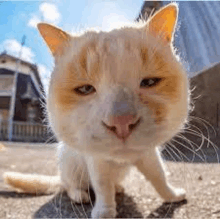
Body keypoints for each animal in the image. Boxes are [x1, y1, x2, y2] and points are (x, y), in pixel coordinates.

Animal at [3, 3, 189, 217]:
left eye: (150, 82)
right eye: (85, 89)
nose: (122, 122)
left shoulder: (148, 154)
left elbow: (159, 176)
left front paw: (171, 195)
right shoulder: (95, 158)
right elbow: (102, 185)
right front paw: (105, 211)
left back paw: (118, 187)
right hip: (68, 163)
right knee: (69, 185)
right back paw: (79, 195)